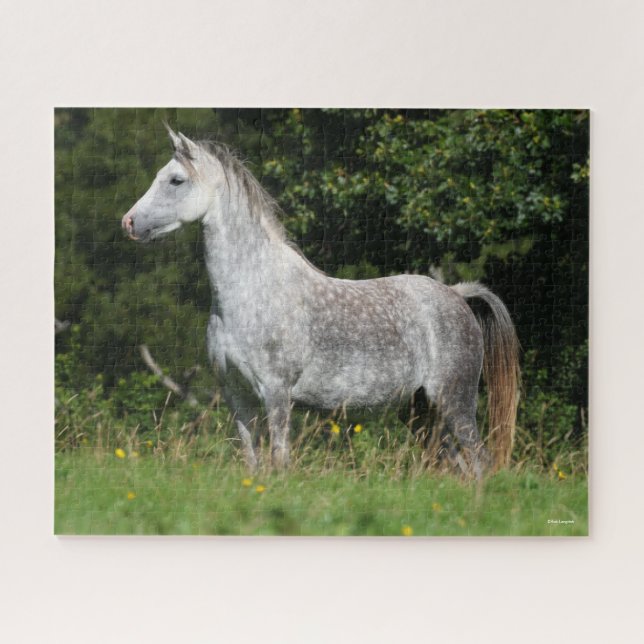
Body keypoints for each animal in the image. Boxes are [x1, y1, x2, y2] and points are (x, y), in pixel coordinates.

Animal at [122, 124, 520, 479]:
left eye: (176, 180)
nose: (128, 223)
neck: (253, 292)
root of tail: (457, 294)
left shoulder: (276, 394)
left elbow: (279, 461)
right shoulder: (238, 396)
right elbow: (251, 461)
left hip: (454, 402)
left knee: (480, 462)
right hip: (421, 412)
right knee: (460, 467)